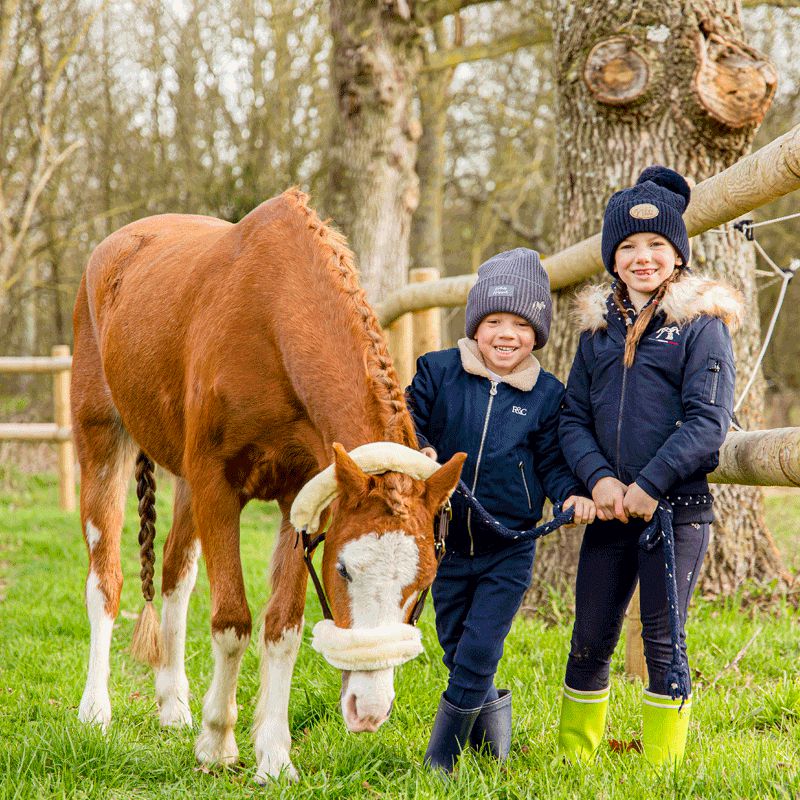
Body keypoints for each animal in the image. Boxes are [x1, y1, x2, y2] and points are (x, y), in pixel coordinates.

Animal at [73, 189, 468, 780]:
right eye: (344, 569)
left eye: (423, 584)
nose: (369, 711)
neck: (273, 322)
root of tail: (111, 248)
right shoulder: (218, 487)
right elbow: (232, 620)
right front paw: (218, 742)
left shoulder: (300, 498)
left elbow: (282, 627)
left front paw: (275, 755)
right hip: (101, 438)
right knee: (106, 579)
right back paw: (95, 710)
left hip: (184, 480)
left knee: (175, 574)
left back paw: (173, 704)